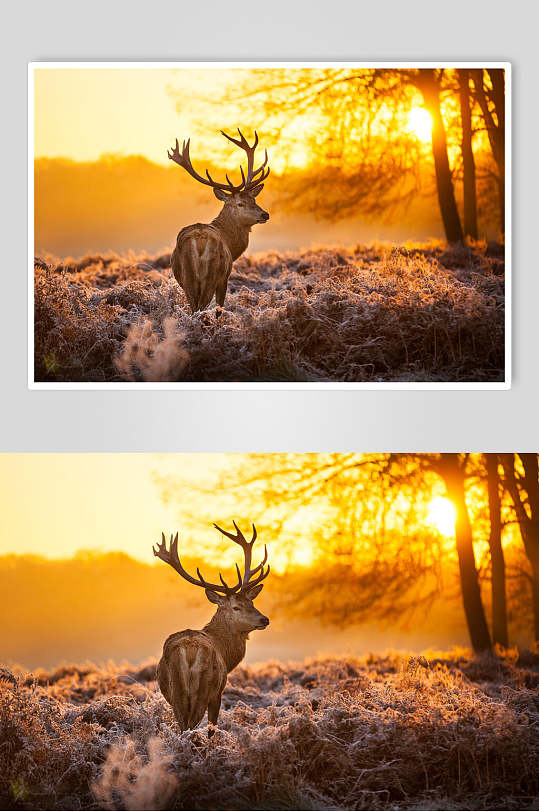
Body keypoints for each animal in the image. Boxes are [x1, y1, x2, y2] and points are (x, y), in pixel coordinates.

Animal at [152, 524, 270, 732]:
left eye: (252, 602)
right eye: (236, 607)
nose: (264, 619)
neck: (226, 654)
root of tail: (189, 651)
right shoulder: (218, 693)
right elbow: (212, 727)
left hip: (176, 694)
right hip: (204, 688)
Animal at [168, 130, 272, 310]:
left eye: (254, 200)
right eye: (240, 203)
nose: (265, 215)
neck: (231, 244)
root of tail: (200, 241)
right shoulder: (225, 277)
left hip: (188, 279)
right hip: (213, 274)